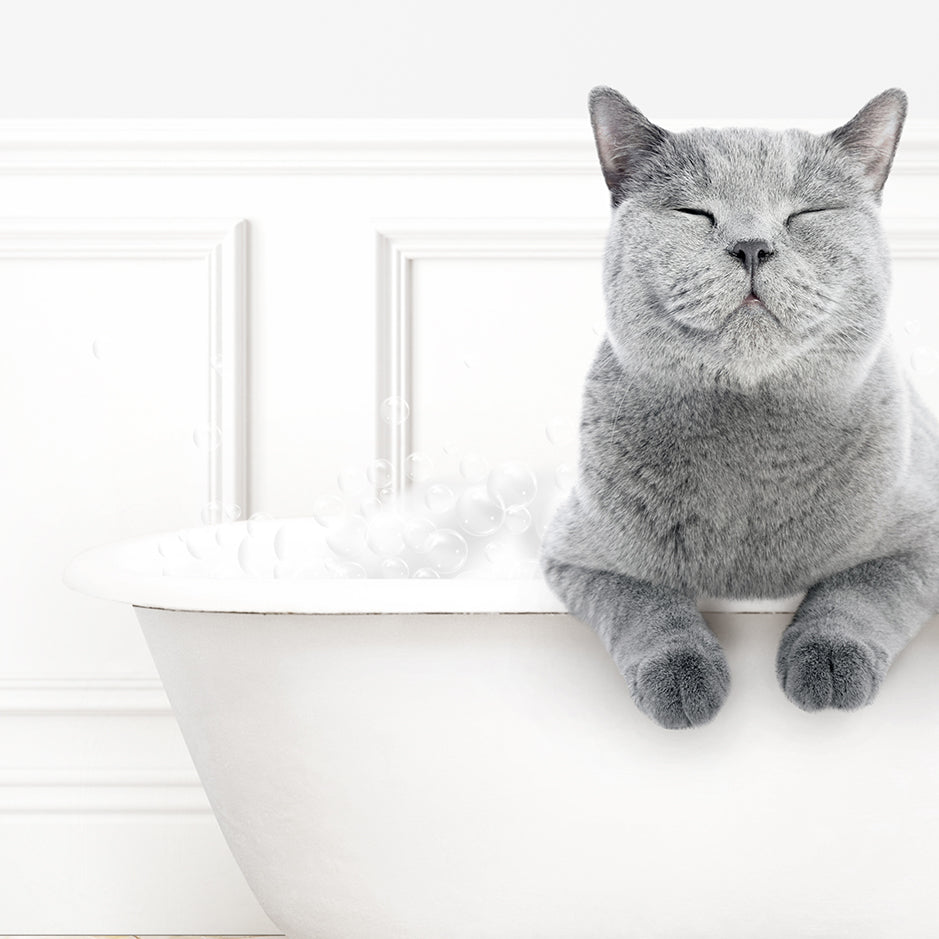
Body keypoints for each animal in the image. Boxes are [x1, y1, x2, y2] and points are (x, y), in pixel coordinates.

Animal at [540, 86, 939, 728]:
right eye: (694, 213)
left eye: (805, 214)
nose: (753, 246)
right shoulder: (580, 555)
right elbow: (646, 603)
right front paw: (683, 678)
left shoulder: (923, 536)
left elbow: (859, 590)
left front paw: (829, 663)